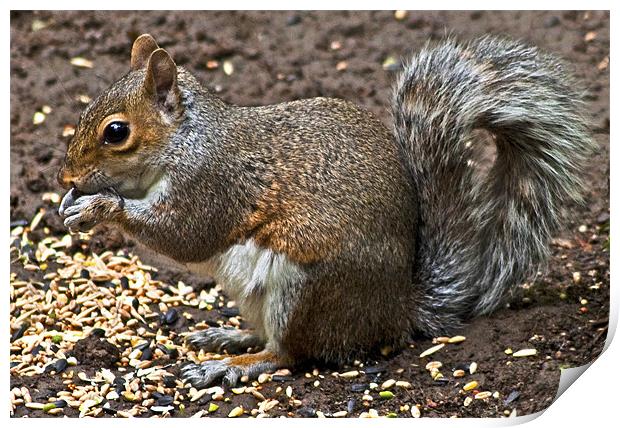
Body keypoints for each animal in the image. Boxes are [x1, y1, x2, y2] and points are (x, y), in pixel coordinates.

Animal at [58, 34, 596, 388]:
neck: (186, 140)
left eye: (116, 132)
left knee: (290, 354)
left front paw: (99, 206)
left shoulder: (212, 184)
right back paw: (230, 336)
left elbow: (183, 235)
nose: (65, 179)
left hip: (304, 288)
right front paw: (73, 203)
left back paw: (235, 365)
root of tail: (395, 311)